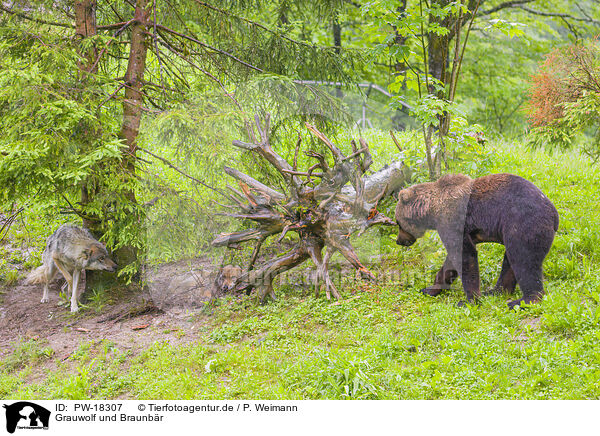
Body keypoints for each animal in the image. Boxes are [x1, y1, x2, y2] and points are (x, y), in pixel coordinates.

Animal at [396, 172, 560, 308]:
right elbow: (450, 262)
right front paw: (429, 289)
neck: (432, 210)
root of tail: (554, 214)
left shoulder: (452, 221)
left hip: (522, 225)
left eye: (397, 222)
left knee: (524, 262)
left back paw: (523, 300)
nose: (399, 240)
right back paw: (496, 291)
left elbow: (465, 257)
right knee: (510, 262)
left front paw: (468, 300)